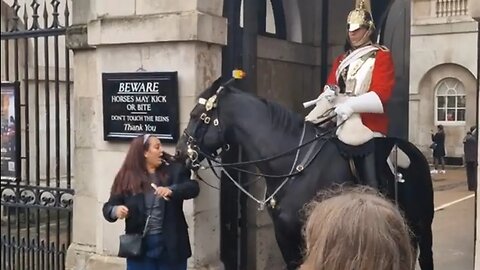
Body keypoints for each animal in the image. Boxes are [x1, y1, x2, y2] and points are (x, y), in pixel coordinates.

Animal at [176, 78, 436, 270]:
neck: (293, 163)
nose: (179, 152)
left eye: (196, 115)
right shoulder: (285, 235)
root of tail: (414, 152)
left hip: (423, 227)